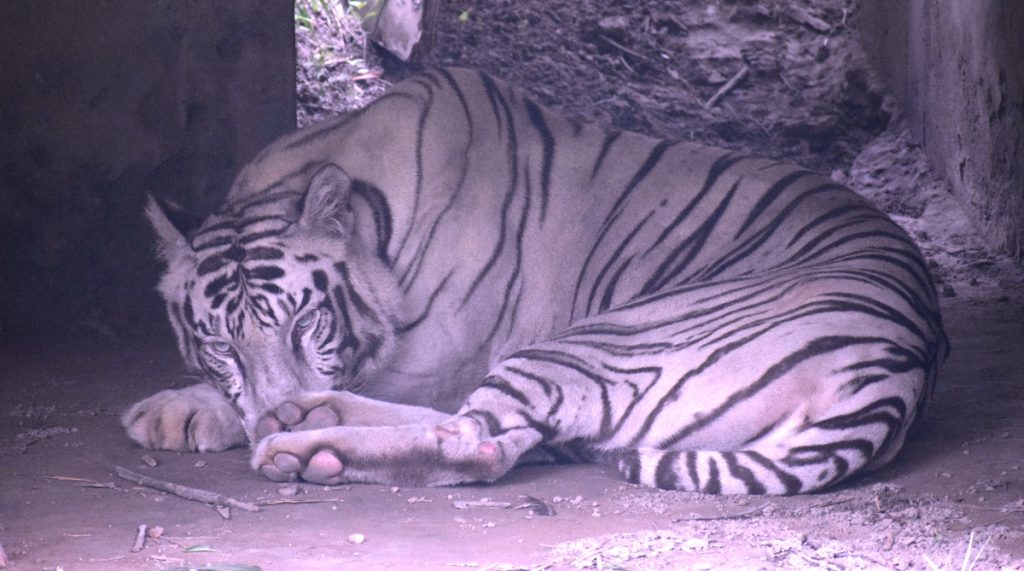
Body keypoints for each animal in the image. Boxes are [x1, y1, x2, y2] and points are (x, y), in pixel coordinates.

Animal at [123, 68, 946, 497]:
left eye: (303, 325)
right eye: (221, 345)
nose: (267, 412)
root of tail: (898, 372)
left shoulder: (437, 357)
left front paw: (227, 416)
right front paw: (185, 406)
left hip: (603, 337)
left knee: (477, 441)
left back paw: (305, 442)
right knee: (510, 437)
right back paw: (306, 421)